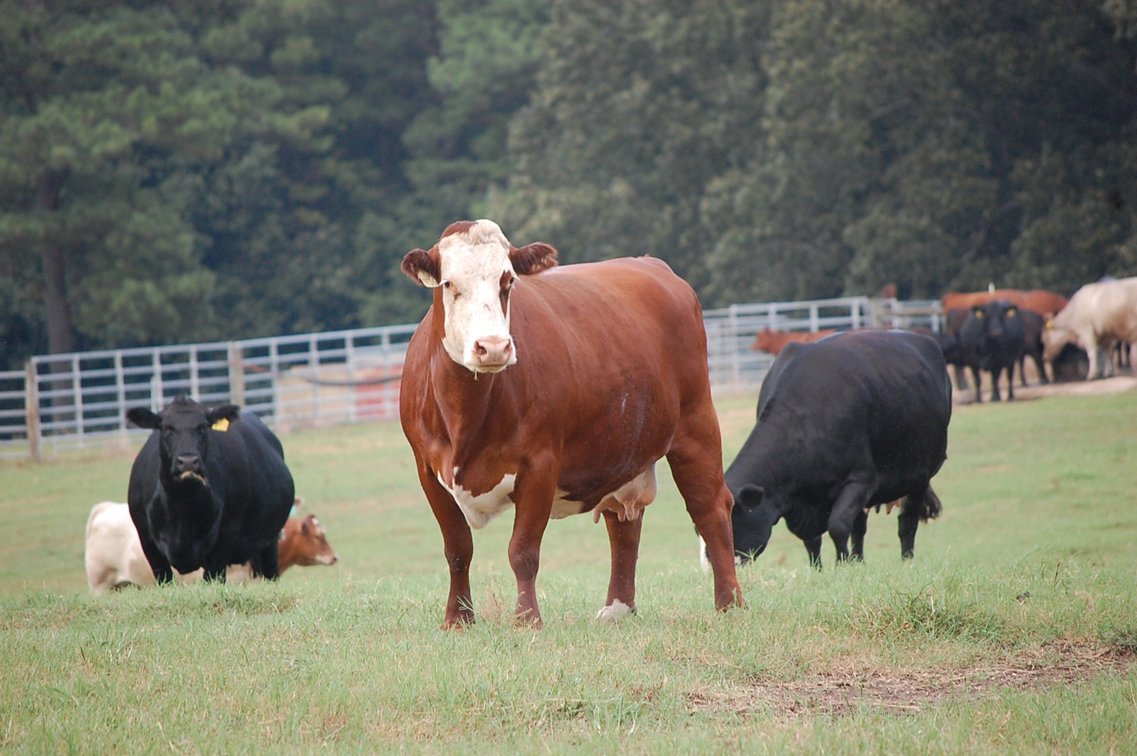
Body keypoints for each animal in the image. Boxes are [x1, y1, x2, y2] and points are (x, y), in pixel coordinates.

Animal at [126, 396, 295, 583]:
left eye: (202, 427)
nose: (188, 461)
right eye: (166, 428)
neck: (182, 505)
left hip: (269, 542)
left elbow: (213, 576)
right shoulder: (146, 538)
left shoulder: (226, 533)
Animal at [398, 219, 743, 628]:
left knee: (711, 508)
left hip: (696, 424)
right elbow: (457, 549)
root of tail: (652, 265)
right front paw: (458, 620)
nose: (493, 347)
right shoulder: (427, 471)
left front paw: (527, 619)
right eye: (449, 283)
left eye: (507, 281)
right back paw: (618, 607)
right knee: (623, 522)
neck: (465, 416)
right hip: (622, 448)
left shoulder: (539, 466)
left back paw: (729, 603)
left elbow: (523, 551)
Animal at [702, 330, 949, 569]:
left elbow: (838, 525)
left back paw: (906, 560)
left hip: (920, 475)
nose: (710, 564)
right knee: (860, 526)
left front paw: (842, 565)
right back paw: (859, 560)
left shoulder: (861, 479)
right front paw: (818, 569)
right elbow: (814, 538)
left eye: (731, 522)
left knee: (907, 520)